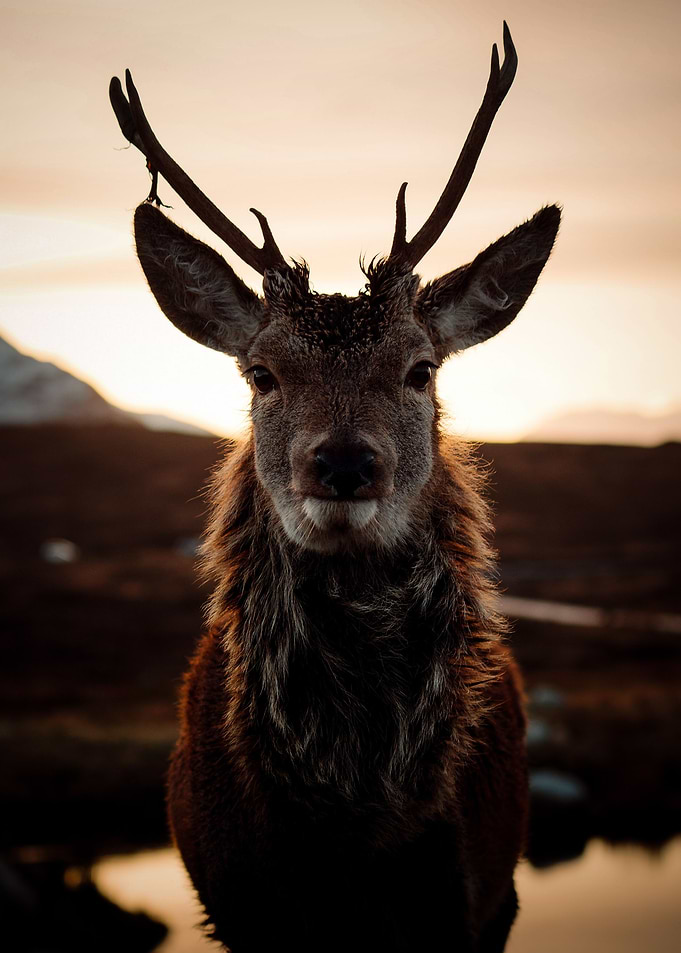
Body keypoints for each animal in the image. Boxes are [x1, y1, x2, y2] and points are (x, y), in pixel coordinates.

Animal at [110, 22, 559, 953]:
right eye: (260, 372)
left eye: (420, 368)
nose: (345, 463)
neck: (359, 831)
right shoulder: (241, 903)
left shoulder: (483, 900)